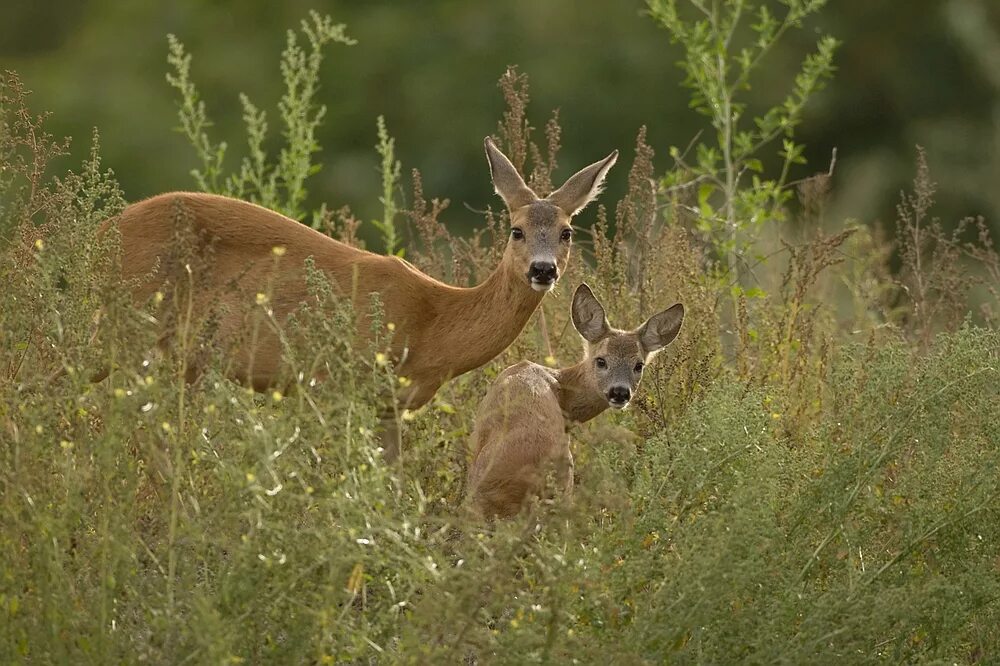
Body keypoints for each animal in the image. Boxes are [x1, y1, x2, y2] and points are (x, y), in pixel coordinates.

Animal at [109, 135, 616, 456]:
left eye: (567, 232)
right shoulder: (338, 386)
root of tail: (101, 231)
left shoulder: (391, 408)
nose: (543, 269)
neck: (433, 323)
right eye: (516, 230)